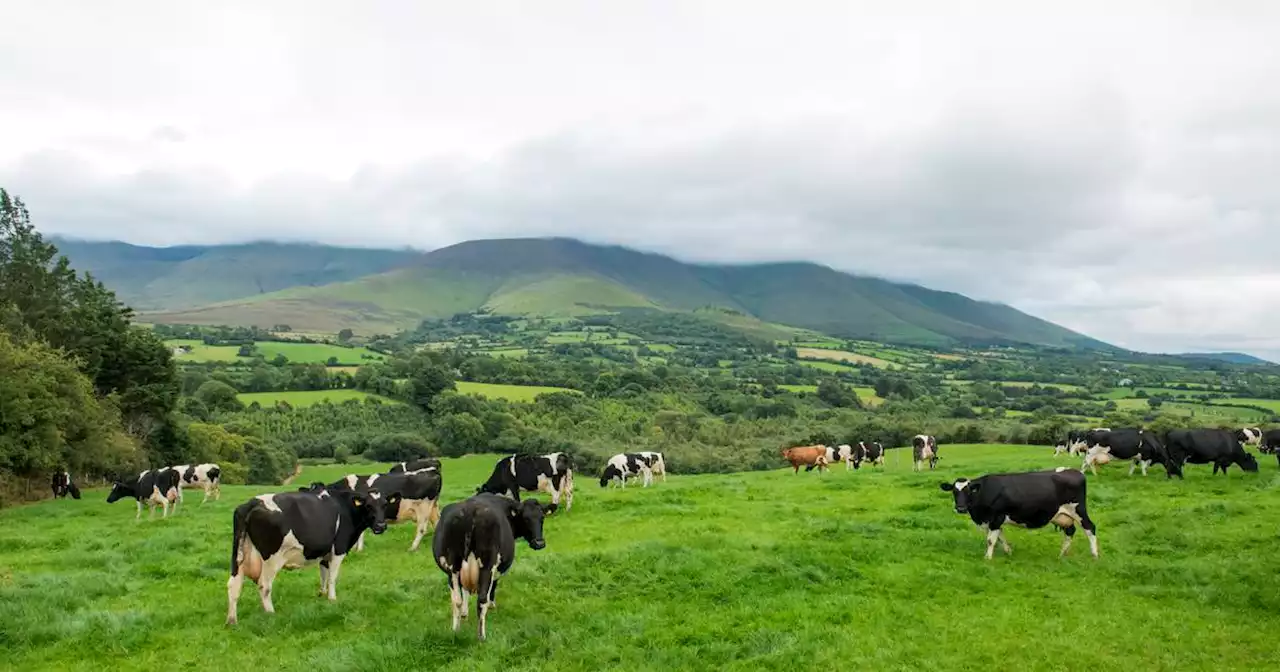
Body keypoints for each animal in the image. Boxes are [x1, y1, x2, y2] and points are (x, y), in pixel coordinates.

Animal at [225, 483, 394, 627]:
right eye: (368, 506)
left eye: (385, 505)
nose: (381, 526)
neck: (346, 507)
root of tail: (252, 502)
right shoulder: (339, 549)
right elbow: (332, 577)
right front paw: (332, 599)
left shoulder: (325, 552)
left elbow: (324, 573)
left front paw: (322, 594)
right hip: (271, 558)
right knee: (264, 585)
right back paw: (271, 614)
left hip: (239, 555)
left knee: (234, 585)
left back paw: (232, 621)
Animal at [432, 491, 552, 640]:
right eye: (526, 518)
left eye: (542, 517)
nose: (539, 543)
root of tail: (470, 511)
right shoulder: (496, 569)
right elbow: (493, 587)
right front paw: (492, 605)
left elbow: (464, 591)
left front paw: (464, 613)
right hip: (486, 566)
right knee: (481, 599)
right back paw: (481, 636)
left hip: (452, 568)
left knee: (456, 600)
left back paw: (455, 630)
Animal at [942, 463, 1100, 558]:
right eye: (954, 492)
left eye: (969, 491)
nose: (960, 508)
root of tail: (1075, 471)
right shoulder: (991, 521)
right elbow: (1000, 537)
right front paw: (1008, 551)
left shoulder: (996, 518)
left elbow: (991, 540)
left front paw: (988, 558)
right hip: (1063, 515)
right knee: (1070, 531)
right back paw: (1062, 554)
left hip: (1078, 510)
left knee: (1090, 528)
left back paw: (1094, 555)